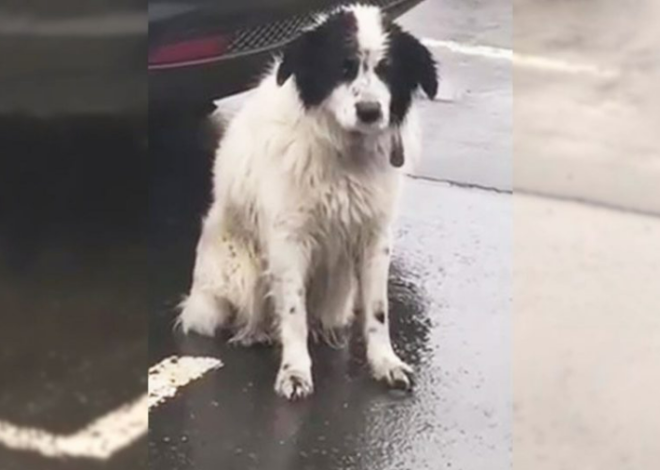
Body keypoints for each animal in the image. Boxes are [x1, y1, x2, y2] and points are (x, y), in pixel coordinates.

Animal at [180, 4, 438, 400]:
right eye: (343, 67)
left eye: (387, 69)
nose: (369, 111)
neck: (346, 153)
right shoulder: (289, 240)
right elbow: (292, 313)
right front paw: (295, 371)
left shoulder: (376, 237)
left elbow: (378, 311)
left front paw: (385, 363)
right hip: (239, 273)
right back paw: (254, 332)